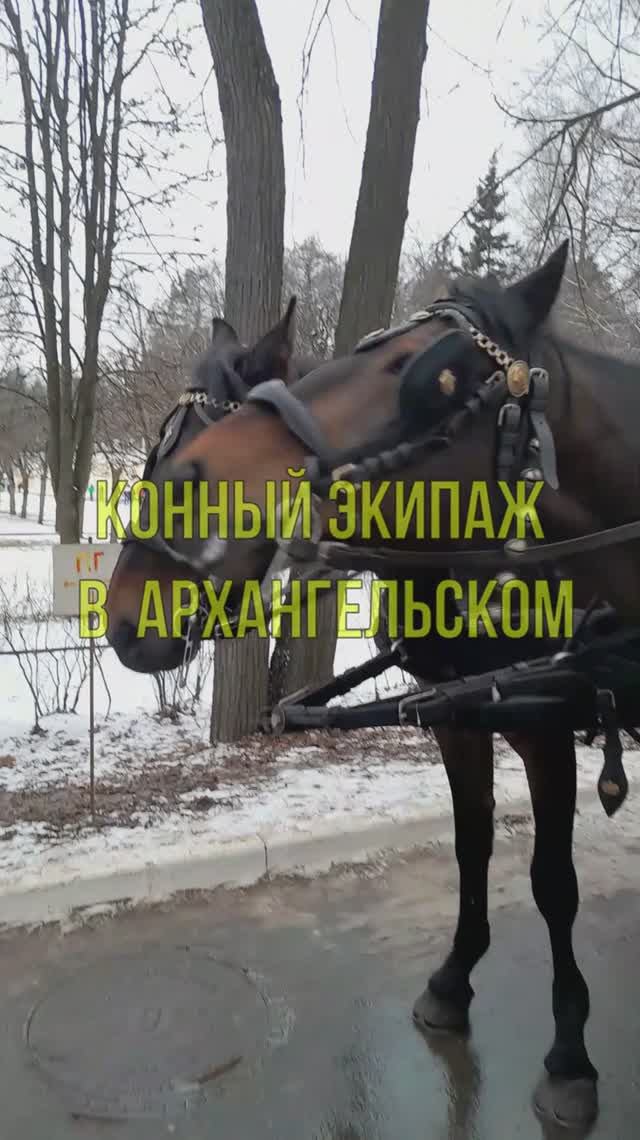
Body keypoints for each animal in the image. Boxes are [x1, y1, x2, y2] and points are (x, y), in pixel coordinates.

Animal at [119, 239, 640, 1128]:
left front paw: (570, 1055)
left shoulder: (543, 721)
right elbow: (472, 846)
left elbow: (553, 884)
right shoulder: (461, 718)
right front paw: (452, 984)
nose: (126, 609)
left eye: (434, 375)